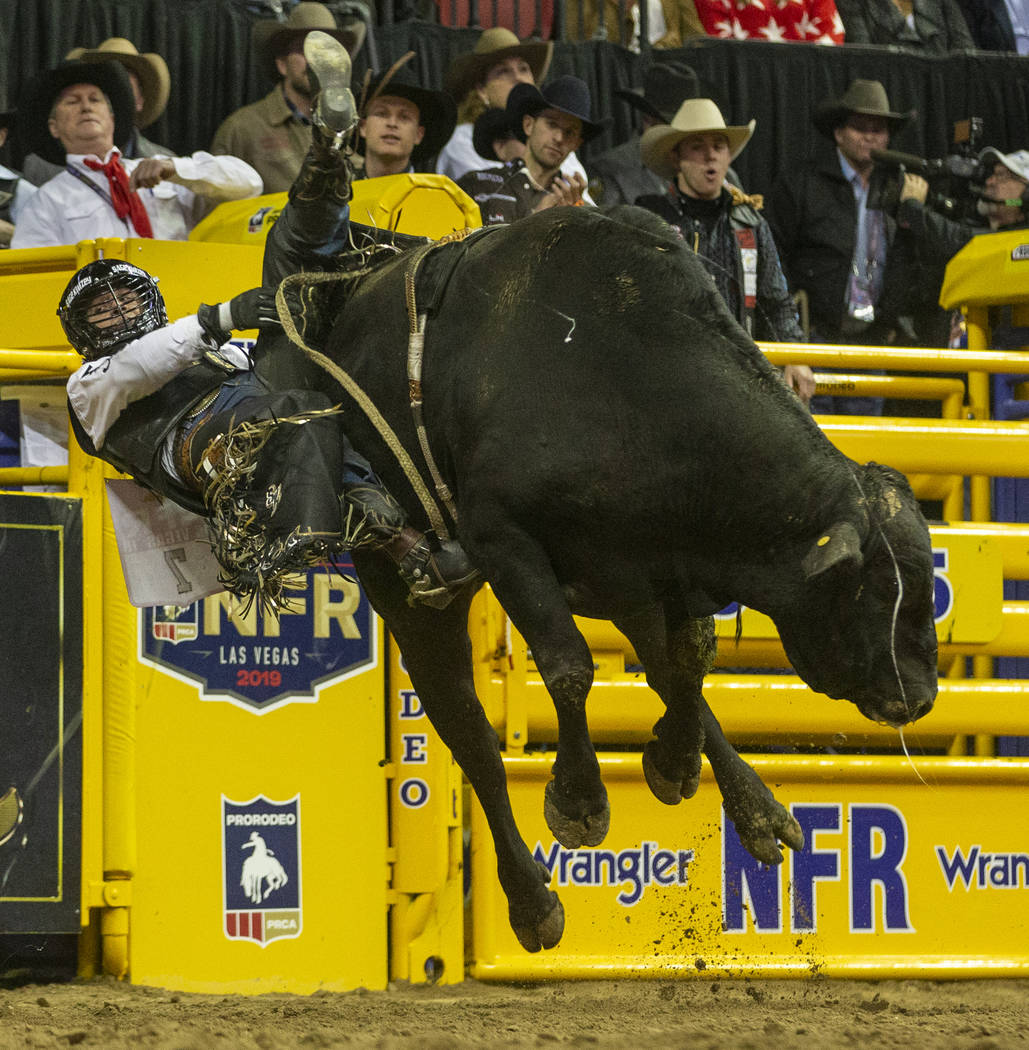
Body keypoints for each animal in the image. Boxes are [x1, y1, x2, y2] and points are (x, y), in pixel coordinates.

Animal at [267, 204, 940, 953]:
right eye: (872, 590)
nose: (917, 697)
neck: (629, 380)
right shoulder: (506, 541)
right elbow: (569, 668)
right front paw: (579, 801)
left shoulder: (666, 566)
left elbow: (687, 662)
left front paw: (674, 763)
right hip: (413, 589)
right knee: (468, 732)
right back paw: (532, 902)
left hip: (619, 586)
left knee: (658, 669)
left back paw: (758, 811)